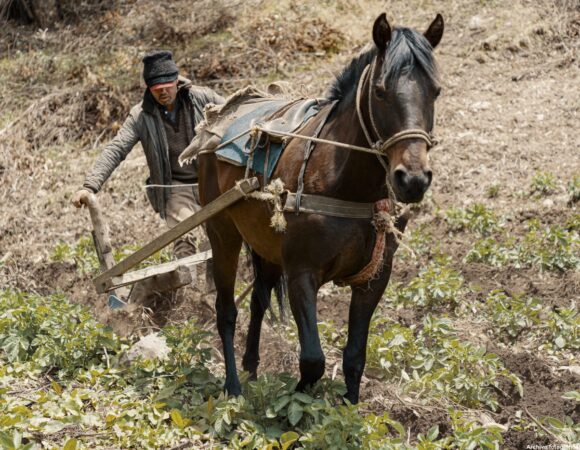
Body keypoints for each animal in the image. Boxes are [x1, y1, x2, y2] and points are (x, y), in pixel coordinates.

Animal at [195, 13, 444, 404]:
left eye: (435, 91)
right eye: (380, 91)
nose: (413, 179)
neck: (347, 184)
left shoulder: (375, 278)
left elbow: (355, 356)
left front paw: (347, 406)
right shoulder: (302, 273)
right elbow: (312, 359)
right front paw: (298, 401)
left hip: (265, 245)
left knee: (258, 301)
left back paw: (251, 368)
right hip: (222, 233)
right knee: (226, 311)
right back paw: (233, 386)